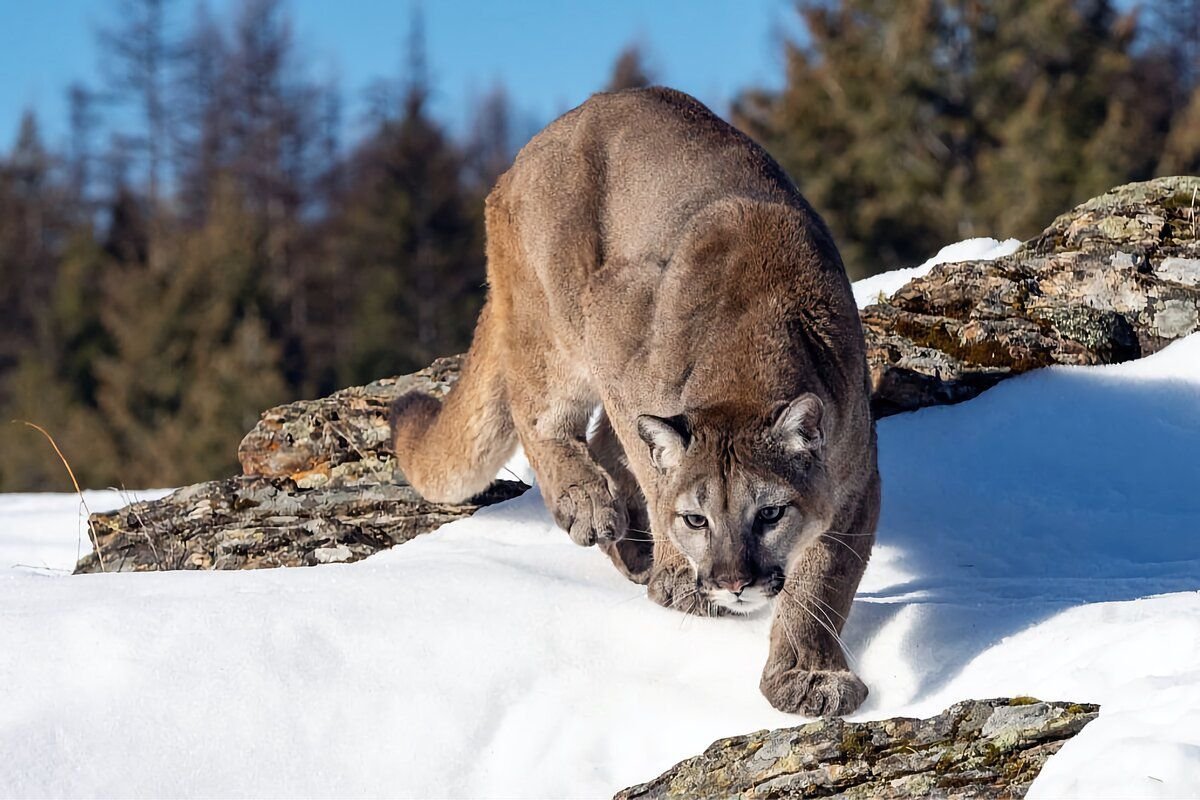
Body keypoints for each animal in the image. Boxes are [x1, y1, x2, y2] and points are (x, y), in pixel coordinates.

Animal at [388, 89, 878, 719]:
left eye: (770, 514)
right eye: (697, 519)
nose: (731, 582)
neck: (747, 355)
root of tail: (520, 159)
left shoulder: (855, 481)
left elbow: (825, 580)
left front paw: (808, 672)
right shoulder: (611, 317)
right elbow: (654, 471)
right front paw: (679, 577)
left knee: (602, 440)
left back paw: (632, 549)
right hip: (557, 320)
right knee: (544, 417)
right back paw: (592, 508)